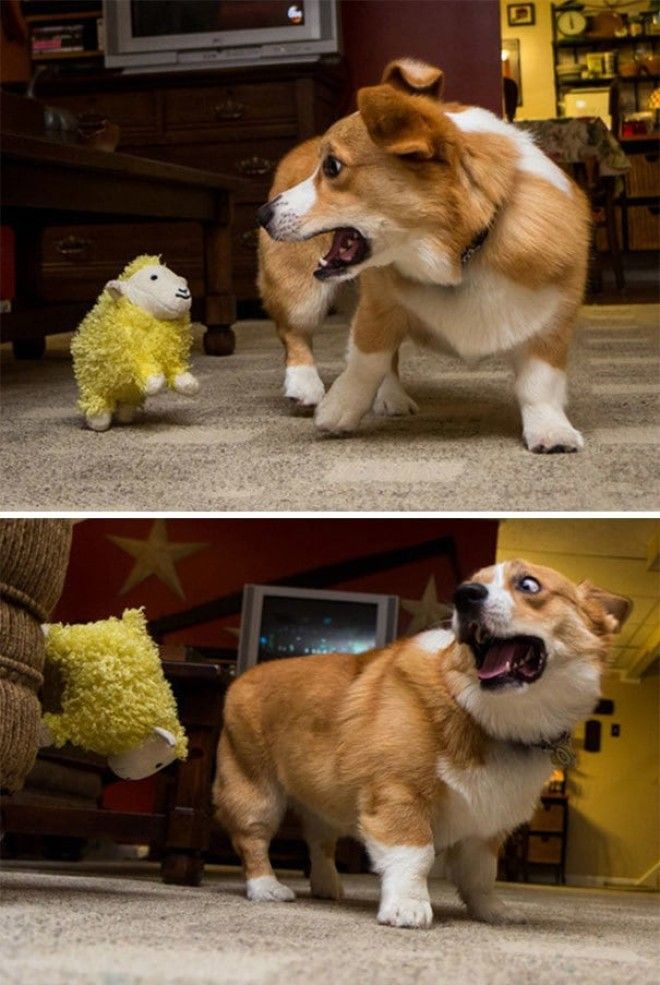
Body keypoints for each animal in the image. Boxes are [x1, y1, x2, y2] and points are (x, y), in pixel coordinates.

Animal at [214, 556, 632, 928]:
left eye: (528, 584)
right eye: (471, 582)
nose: (465, 595)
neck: (486, 715)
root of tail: (243, 676)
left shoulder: (487, 827)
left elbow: (482, 875)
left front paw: (492, 911)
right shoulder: (399, 795)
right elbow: (415, 856)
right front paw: (408, 907)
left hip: (323, 801)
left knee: (320, 843)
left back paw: (327, 886)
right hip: (256, 792)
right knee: (252, 840)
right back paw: (266, 887)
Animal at [256, 63, 588, 456]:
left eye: (333, 167)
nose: (262, 214)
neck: (460, 255)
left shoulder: (550, 322)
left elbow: (540, 383)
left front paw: (551, 431)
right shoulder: (379, 308)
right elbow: (365, 362)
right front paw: (338, 410)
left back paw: (392, 397)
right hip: (300, 292)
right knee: (294, 333)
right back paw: (304, 384)